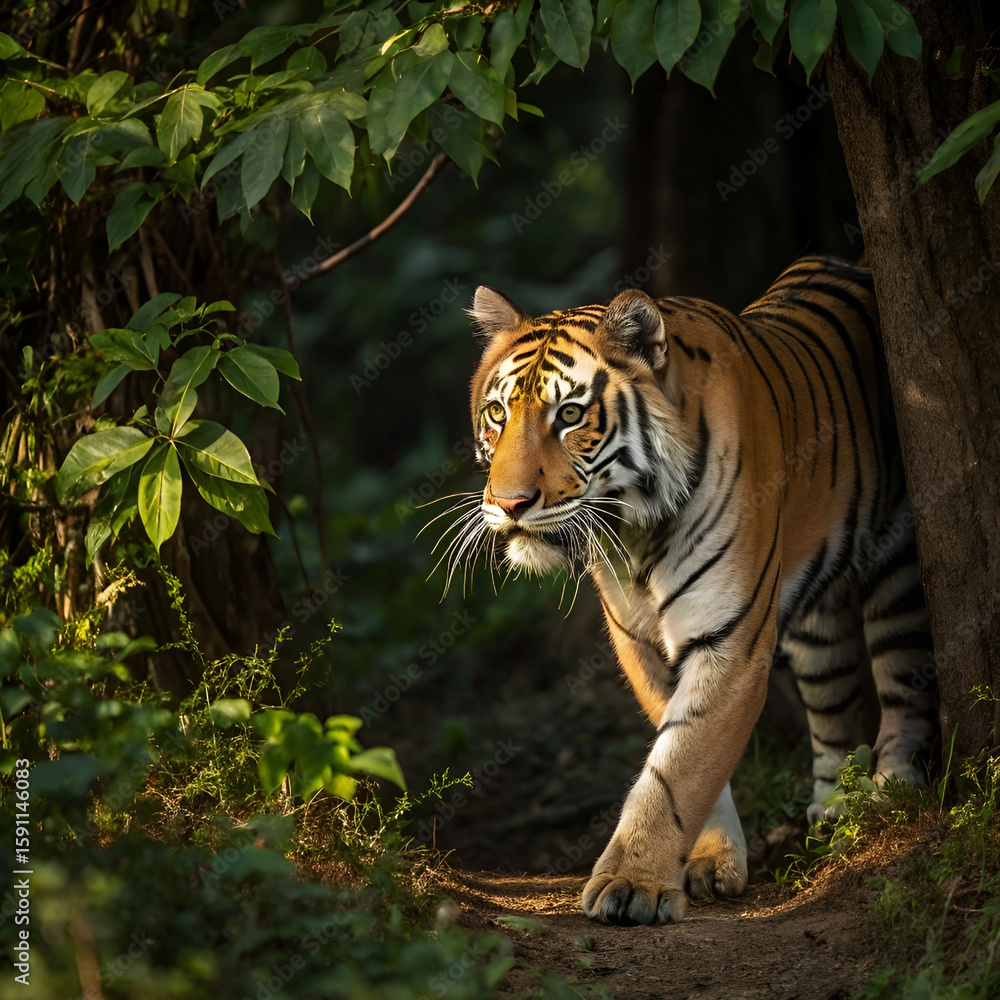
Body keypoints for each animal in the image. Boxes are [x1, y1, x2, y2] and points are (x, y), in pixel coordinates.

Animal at [443, 254, 938, 925]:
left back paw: (889, 794)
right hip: (817, 625)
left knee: (902, 678)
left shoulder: (731, 638)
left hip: (897, 568)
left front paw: (633, 885)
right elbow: (684, 748)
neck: (634, 533)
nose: (509, 503)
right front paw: (709, 861)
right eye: (498, 414)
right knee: (834, 705)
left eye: (569, 415)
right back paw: (837, 811)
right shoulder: (640, 643)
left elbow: (681, 764)